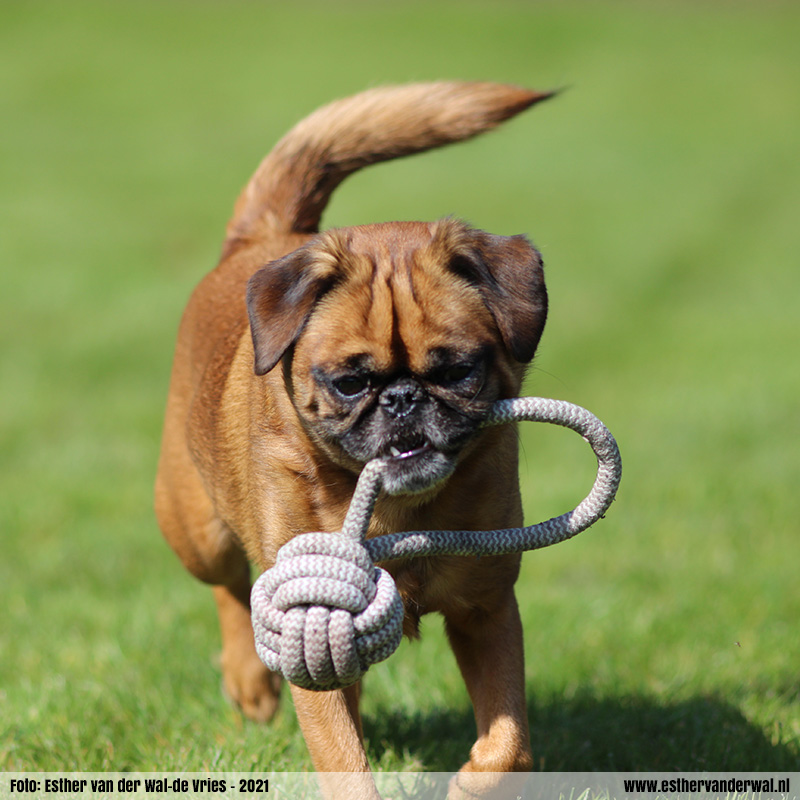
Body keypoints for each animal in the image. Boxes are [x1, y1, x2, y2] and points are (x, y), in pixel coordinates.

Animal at [154, 84, 552, 796]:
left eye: (457, 371)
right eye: (349, 383)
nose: (402, 398)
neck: (397, 514)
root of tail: (265, 235)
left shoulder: (487, 609)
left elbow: (510, 743)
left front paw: (475, 776)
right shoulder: (310, 625)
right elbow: (343, 763)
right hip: (196, 530)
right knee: (230, 587)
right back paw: (249, 682)